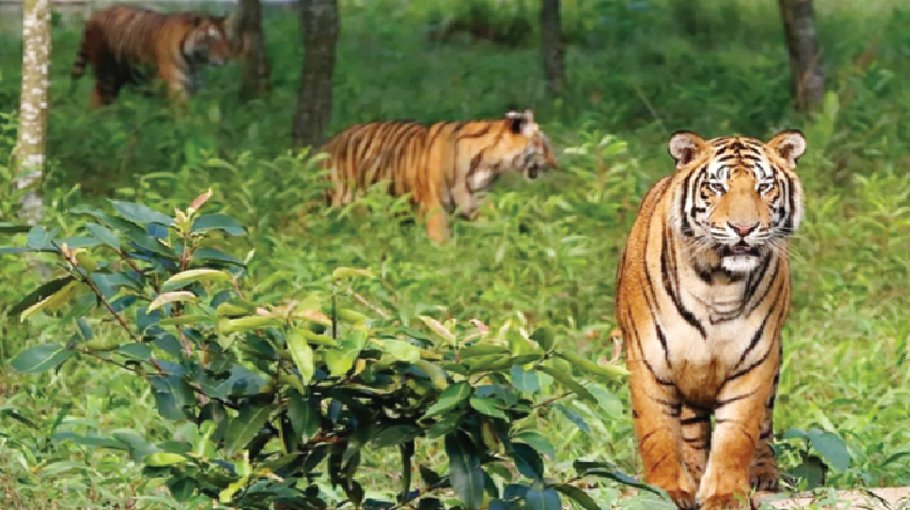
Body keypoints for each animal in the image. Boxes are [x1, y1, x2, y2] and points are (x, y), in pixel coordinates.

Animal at [71, 5, 236, 107]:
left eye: (226, 38)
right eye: (212, 38)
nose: (228, 57)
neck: (194, 62)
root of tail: (93, 16)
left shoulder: (192, 87)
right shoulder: (175, 87)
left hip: (119, 75)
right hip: (107, 74)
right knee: (99, 97)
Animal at [320, 110, 558, 242]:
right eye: (545, 146)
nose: (556, 165)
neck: (489, 166)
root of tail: (329, 143)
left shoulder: (476, 203)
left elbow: (499, 227)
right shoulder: (434, 208)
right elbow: (441, 244)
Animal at [615, 130, 806, 509]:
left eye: (764, 186)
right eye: (717, 186)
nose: (744, 228)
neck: (718, 281)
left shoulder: (755, 361)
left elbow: (737, 435)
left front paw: (725, 494)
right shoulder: (648, 359)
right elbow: (657, 433)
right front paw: (666, 490)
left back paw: (763, 474)